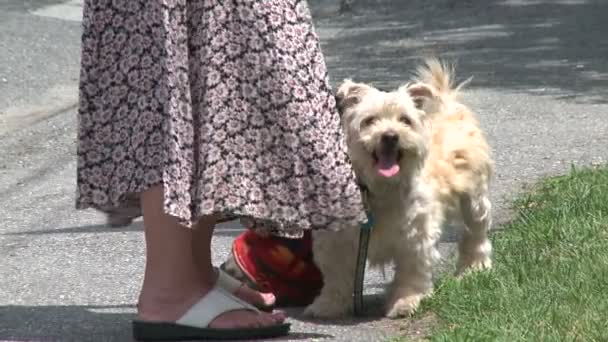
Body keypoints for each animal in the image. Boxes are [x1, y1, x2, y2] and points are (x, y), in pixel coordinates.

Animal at [304, 58, 494, 318]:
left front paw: (405, 301)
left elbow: (411, 272)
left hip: (473, 199)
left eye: (405, 120)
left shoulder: (416, 236)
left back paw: (474, 267)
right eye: (369, 120)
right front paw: (328, 304)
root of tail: (448, 108)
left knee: (475, 233)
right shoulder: (336, 240)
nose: (390, 136)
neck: (379, 189)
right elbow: (336, 276)